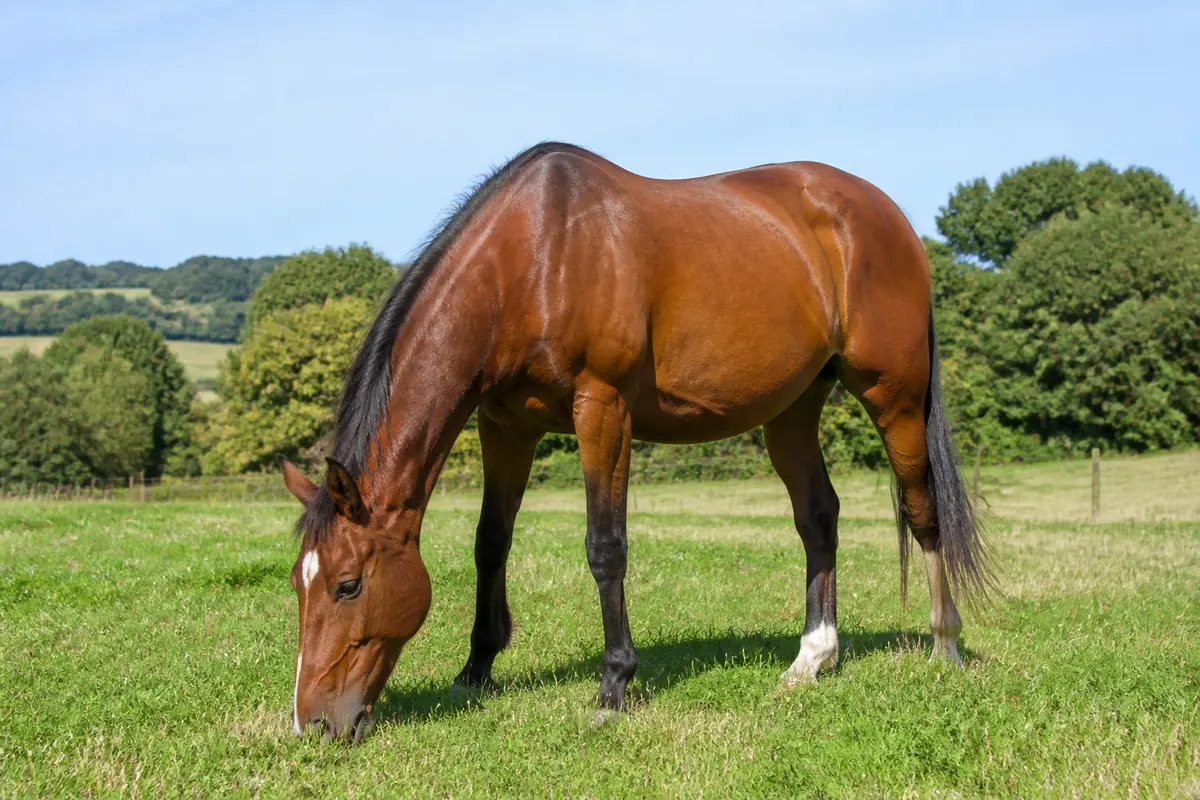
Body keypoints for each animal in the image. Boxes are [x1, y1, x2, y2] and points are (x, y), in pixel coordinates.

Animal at [279, 142, 992, 743]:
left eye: (347, 585)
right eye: (297, 583)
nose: (312, 724)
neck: (535, 257)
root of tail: (885, 214)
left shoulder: (603, 408)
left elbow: (606, 548)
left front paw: (614, 685)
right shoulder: (504, 425)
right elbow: (490, 543)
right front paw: (476, 670)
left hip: (894, 396)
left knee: (923, 510)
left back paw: (945, 644)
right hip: (792, 411)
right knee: (819, 518)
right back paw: (812, 657)